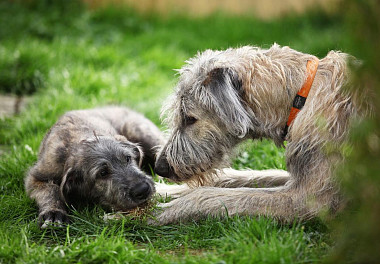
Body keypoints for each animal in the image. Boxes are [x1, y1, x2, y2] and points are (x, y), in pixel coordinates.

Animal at [153, 43, 364, 225]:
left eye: (189, 118)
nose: (159, 168)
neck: (301, 96)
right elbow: (244, 177)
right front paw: (160, 191)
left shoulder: (308, 199)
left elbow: (208, 194)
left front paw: (161, 210)